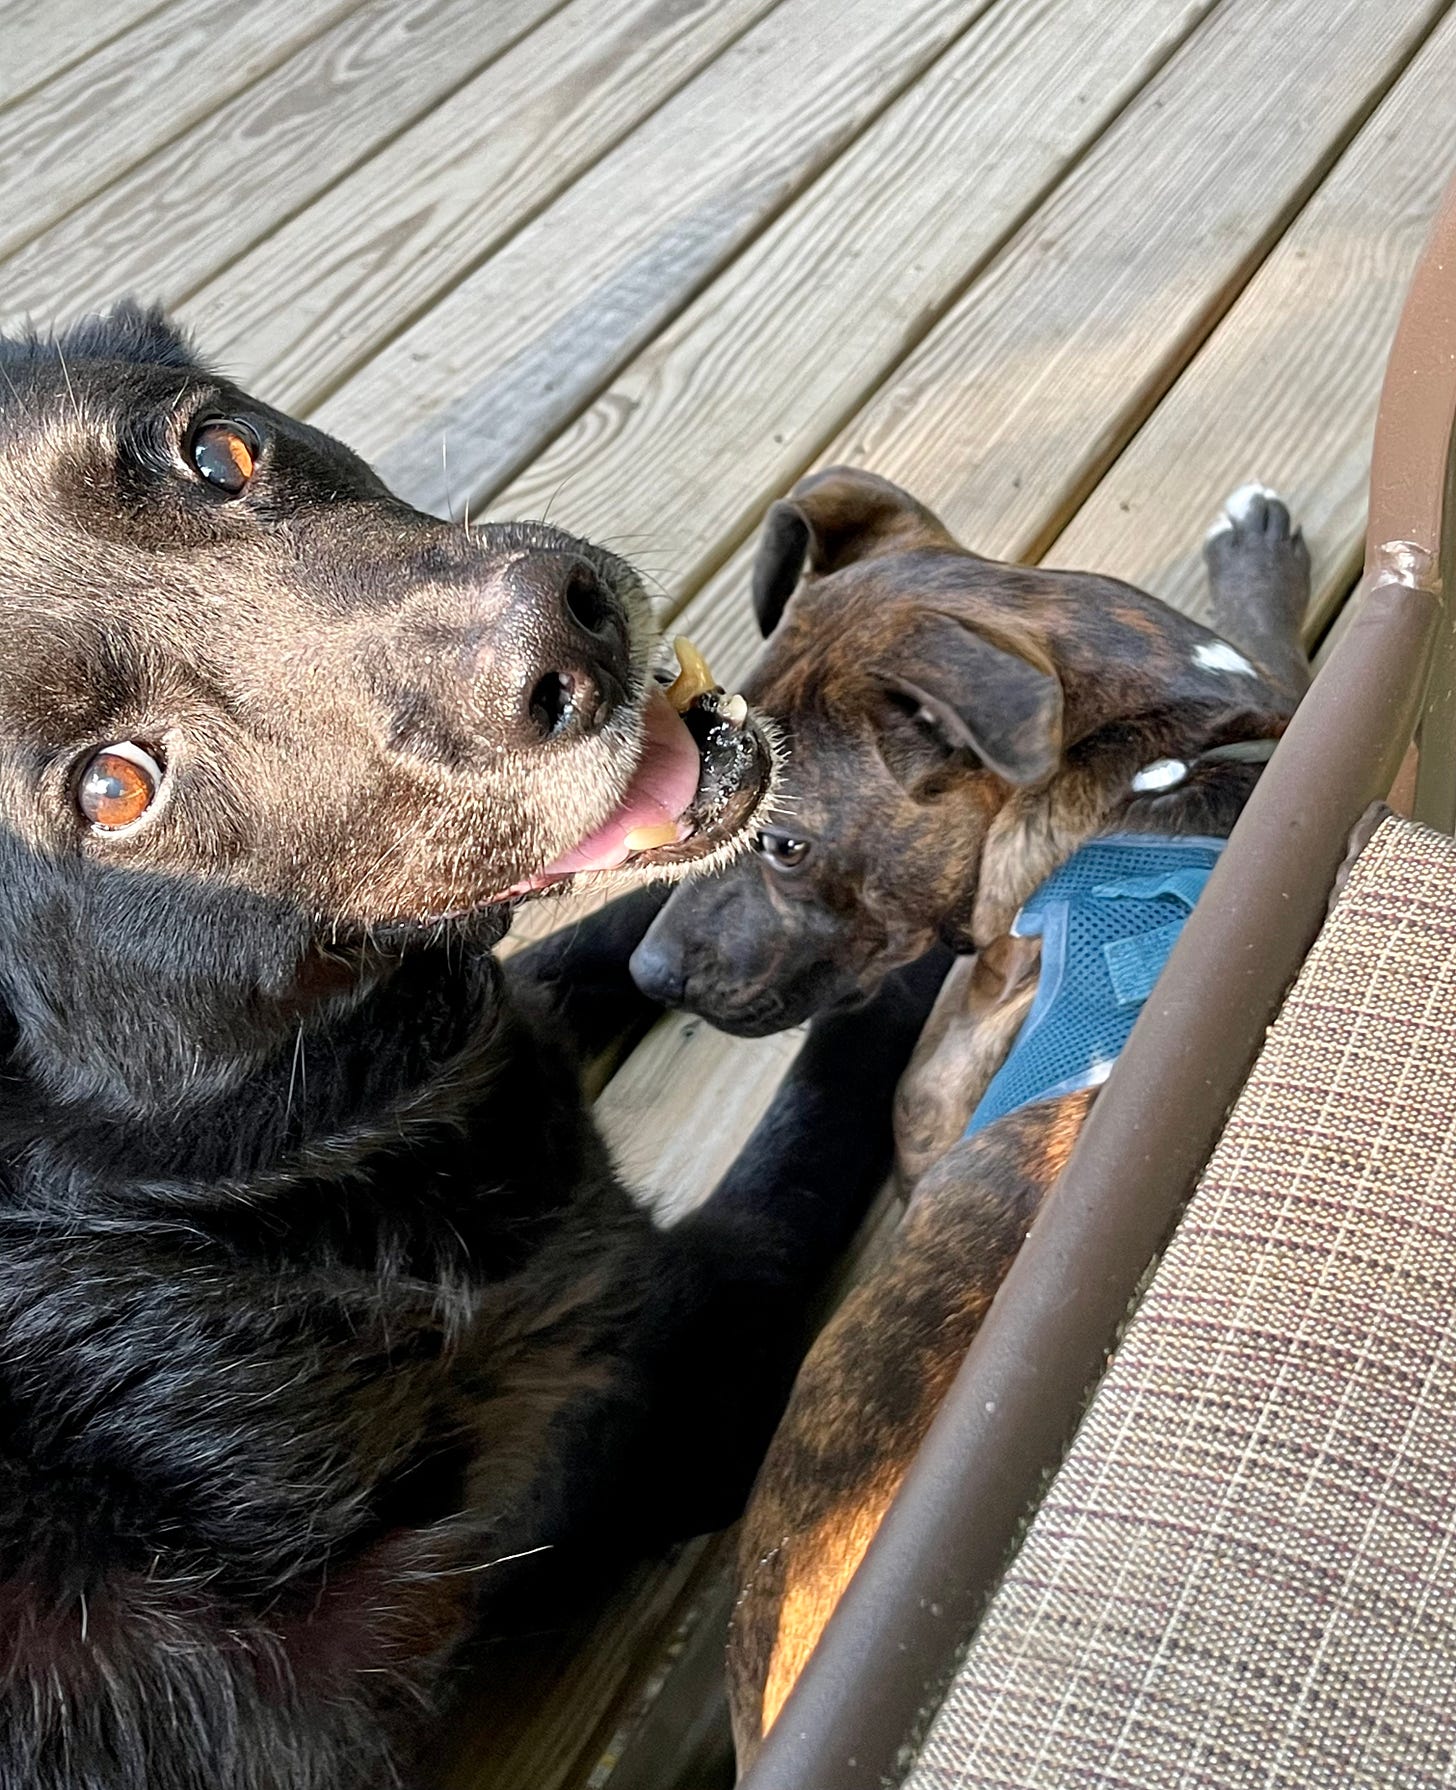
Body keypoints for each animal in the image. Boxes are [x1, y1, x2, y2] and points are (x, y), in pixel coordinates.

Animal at [0, 311, 945, 1790]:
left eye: (219, 449)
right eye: (113, 788)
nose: (565, 625)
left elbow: (608, 946)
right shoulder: (665, 1364)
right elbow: (820, 1093)